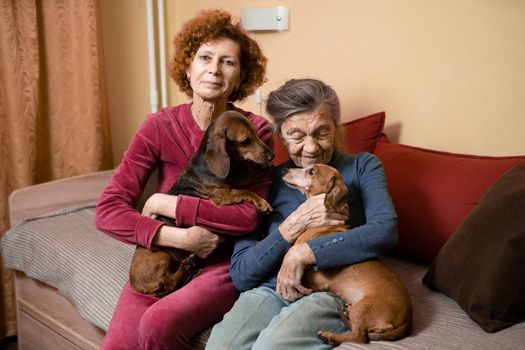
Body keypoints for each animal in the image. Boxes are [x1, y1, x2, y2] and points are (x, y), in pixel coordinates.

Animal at [130, 110, 274, 296]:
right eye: (245, 140)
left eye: (256, 132)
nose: (272, 156)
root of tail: (138, 286)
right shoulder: (222, 196)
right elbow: (243, 191)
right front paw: (262, 202)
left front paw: (262, 167)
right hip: (162, 256)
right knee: (168, 282)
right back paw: (187, 265)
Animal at [280, 164, 412, 344]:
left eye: (312, 171)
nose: (283, 171)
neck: (322, 225)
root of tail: (408, 318)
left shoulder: (317, 278)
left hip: (363, 309)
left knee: (358, 337)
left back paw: (329, 335)